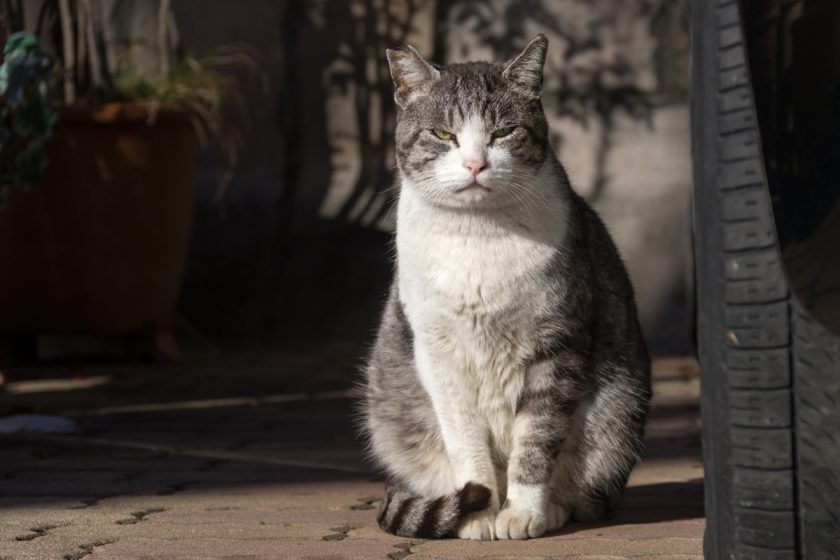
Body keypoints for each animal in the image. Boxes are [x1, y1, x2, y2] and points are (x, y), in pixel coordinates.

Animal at [360, 32, 648, 540]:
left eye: (502, 133)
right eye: (443, 135)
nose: (475, 164)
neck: (478, 236)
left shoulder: (558, 343)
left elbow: (536, 438)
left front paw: (522, 513)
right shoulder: (438, 353)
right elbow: (465, 443)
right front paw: (477, 513)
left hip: (621, 408)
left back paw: (554, 509)